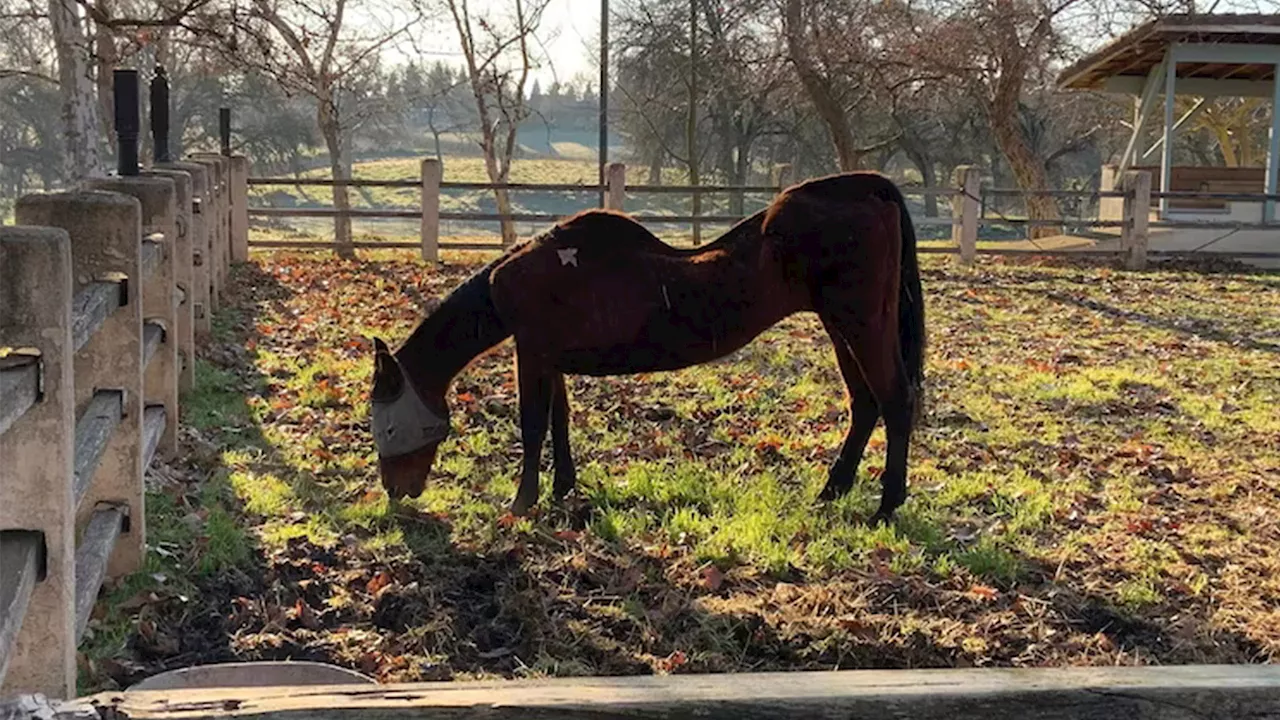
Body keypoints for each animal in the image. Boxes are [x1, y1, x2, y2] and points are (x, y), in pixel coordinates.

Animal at [368, 170, 921, 525]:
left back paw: (886, 505)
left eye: (388, 425)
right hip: (839, 327)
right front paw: (564, 489)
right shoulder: (550, 358)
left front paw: (522, 503)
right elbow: (559, 420)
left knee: (895, 401)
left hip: (860, 323)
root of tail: (868, 188)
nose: (396, 493)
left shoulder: (532, 354)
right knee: (865, 403)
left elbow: (532, 425)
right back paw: (832, 491)